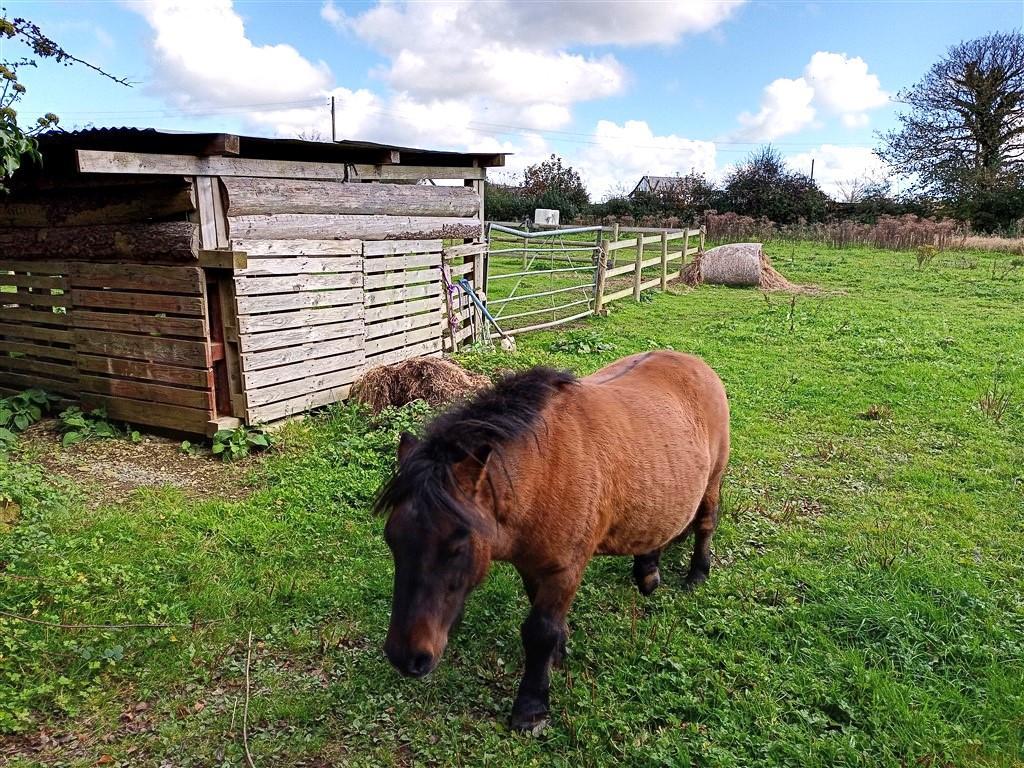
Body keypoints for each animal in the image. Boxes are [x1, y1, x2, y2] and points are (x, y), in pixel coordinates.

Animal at [376, 352, 729, 729]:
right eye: (393, 541)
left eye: (457, 546)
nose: (405, 657)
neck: (543, 471)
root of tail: (696, 364)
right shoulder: (532, 566)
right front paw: (560, 649)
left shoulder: (564, 569)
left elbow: (539, 632)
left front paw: (531, 706)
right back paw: (648, 569)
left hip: (713, 480)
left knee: (706, 522)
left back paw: (697, 573)